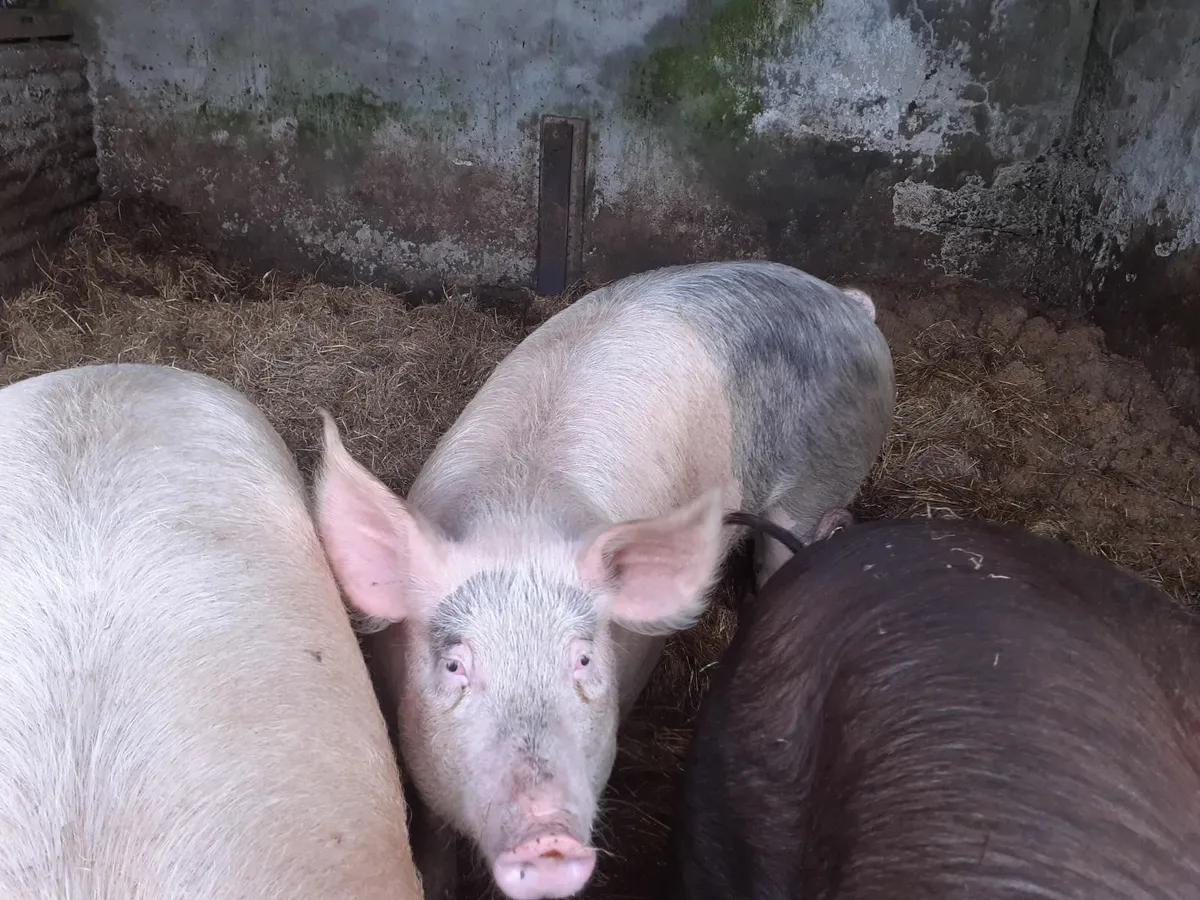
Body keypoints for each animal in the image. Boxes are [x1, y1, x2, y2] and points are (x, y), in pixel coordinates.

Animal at [313, 260, 896, 899]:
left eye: (584, 659)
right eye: (455, 665)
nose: (545, 833)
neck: (519, 523)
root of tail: (844, 302)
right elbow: (434, 842)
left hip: (820, 484)